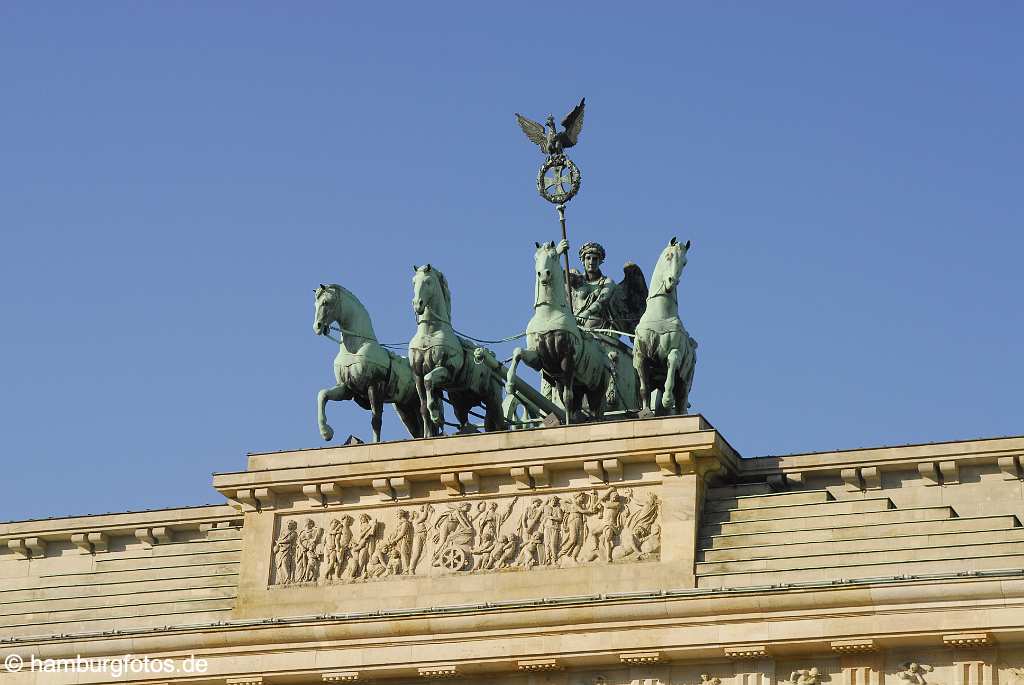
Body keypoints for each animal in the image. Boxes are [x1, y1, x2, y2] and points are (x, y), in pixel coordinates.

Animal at [313, 286, 421, 440]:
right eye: (315, 304)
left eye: (325, 302)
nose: (317, 327)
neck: (356, 348)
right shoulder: (346, 389)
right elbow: (323, 394)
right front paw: (326, 432)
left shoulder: (374, 385)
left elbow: (376, 420)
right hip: (405, 408)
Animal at [407, 264, 503, 436]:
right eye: (413, 282)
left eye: (428, 282)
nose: (417, 304)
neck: (430, 333)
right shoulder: (417, 375)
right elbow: (423, 407)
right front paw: (428, 434)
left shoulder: (446, 370)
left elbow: (429, 381)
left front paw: (436, 415)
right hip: (460, 402)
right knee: (465, 421)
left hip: (494, 399)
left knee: (500, 423)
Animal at [507, 240, 610, 421]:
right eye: (535, 257)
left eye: (554, 256)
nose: (543, 274)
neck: (548, 314)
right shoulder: (538, 357)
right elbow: (518, 352)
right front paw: (510, 384)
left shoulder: (567, 359)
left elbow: (568, 399)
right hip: (579, 386)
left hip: (596, 388)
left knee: (595, 410)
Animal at [630, 237, 696, 413]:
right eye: (668, 256)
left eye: (685, 262)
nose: (672, 281)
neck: (661, 314)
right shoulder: (641, 356)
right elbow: (644, 388)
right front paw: (646, 412)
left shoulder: (675, 351)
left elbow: (673, 359)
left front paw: (667, 398)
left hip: (685, 382)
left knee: (682, 402)